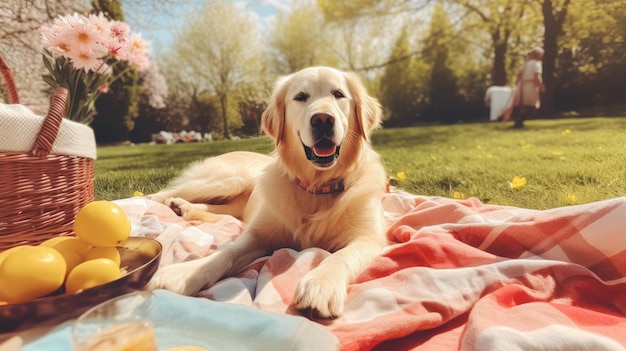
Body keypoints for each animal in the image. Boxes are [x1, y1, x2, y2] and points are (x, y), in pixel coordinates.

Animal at [148, 66, 388, 320]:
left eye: (339, 94)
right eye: (301, 97)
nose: (322, 119)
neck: (317, 188)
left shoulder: (369, 237)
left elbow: (342, 255)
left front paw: (321, 284)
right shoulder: (257, 235)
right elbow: (228, 251)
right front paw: (184, 273)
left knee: (222, 211)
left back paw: (183, 207)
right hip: (229, 179)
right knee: (167, 192)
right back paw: (158, 201)